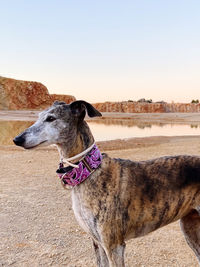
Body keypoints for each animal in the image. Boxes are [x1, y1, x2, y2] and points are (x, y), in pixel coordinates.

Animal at [13, 101, 200, 267]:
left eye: (51, 118)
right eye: (39, 117)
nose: (17, 139)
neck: (89, 171)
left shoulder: (114, 246)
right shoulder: (98, 243)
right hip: (190, 227)